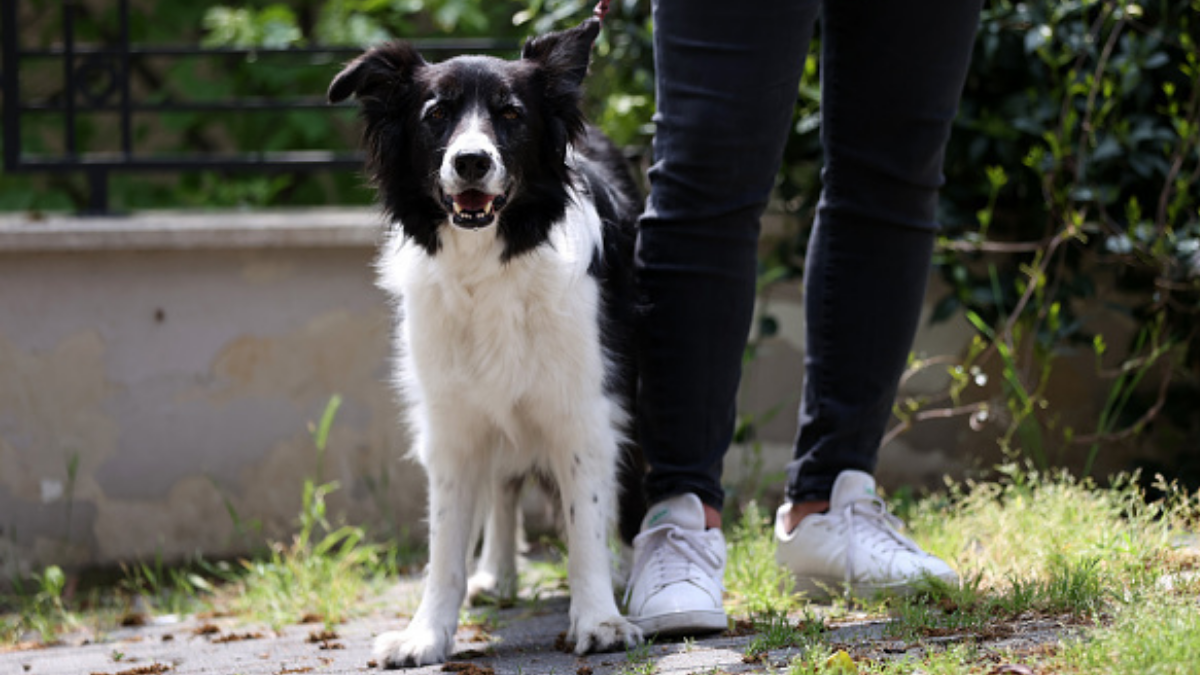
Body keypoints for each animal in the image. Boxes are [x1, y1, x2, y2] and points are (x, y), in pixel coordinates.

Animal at [328, 18, 648, 662]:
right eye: (436, 114)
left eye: (511, 114)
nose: (471, 161)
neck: (489, 267)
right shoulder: (452, 421)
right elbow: (445, 543)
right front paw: (426, 633)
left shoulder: (584, 407)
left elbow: (586, 520)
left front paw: (600, 618)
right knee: (503, 483)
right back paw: (497, 574)